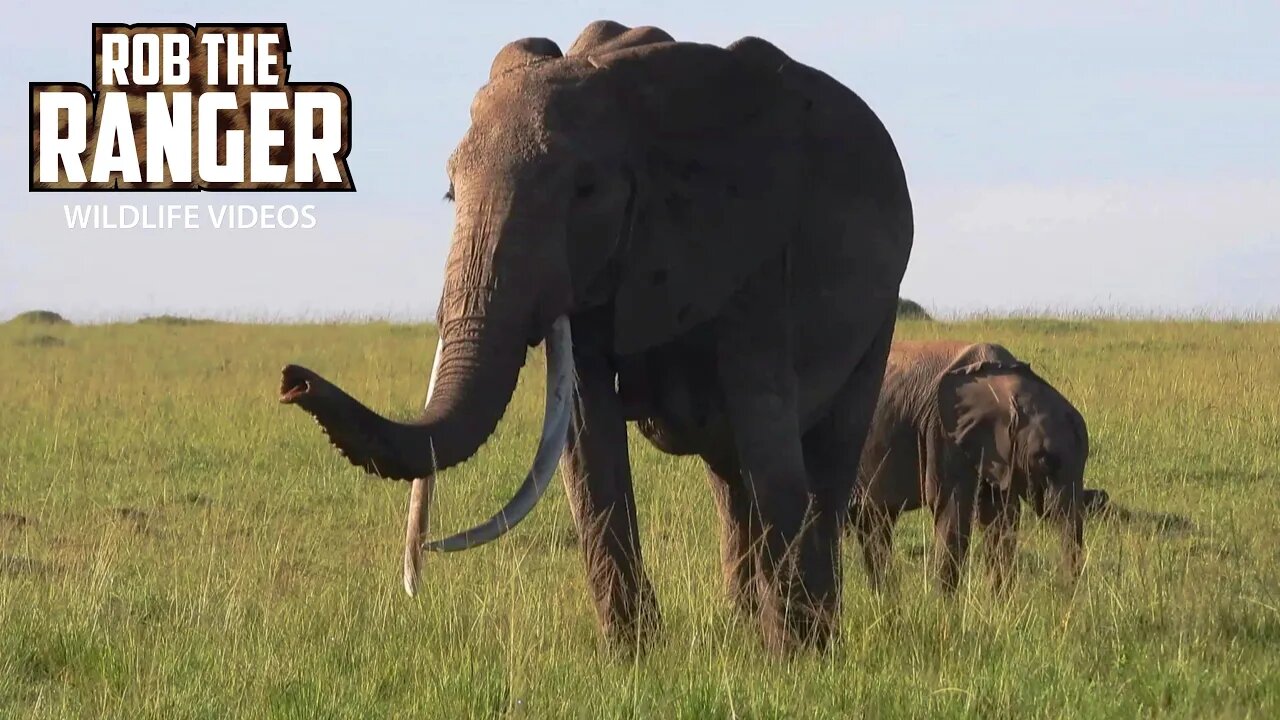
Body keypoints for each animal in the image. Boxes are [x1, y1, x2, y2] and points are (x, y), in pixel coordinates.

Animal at [276, 20, 916, 650]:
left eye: (585, 191)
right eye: (451, 194)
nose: (292, 381)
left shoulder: (753, 248)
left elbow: (765, 427)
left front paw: (796, 659)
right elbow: (587, 440)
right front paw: (634, 657)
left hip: (880, 315)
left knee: (824, 460)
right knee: (730, 475)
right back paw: (744, 627)